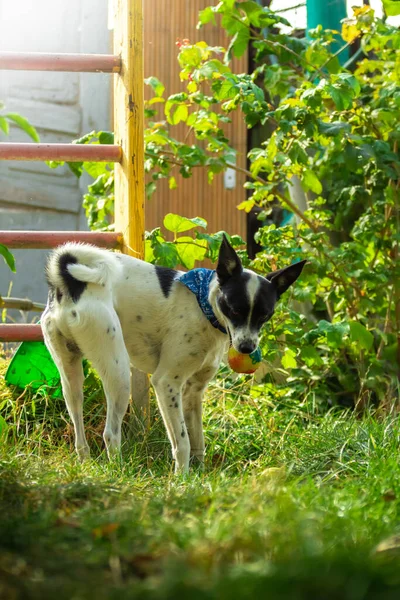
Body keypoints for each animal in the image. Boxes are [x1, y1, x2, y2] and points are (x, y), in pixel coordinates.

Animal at [41, 236, 306, 474]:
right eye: (234, 309)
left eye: (265, 315)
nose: (247, 348)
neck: (204, 305)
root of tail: (70, 283)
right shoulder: (166, 383)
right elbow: (183, 441)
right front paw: (181, 479)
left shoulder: (192, 392)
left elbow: (197, 440)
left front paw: (197, 476)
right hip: (118, 373)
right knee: (110, 434)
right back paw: (119, 471)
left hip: (71, 377)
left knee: (78, 430)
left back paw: (85, 464)